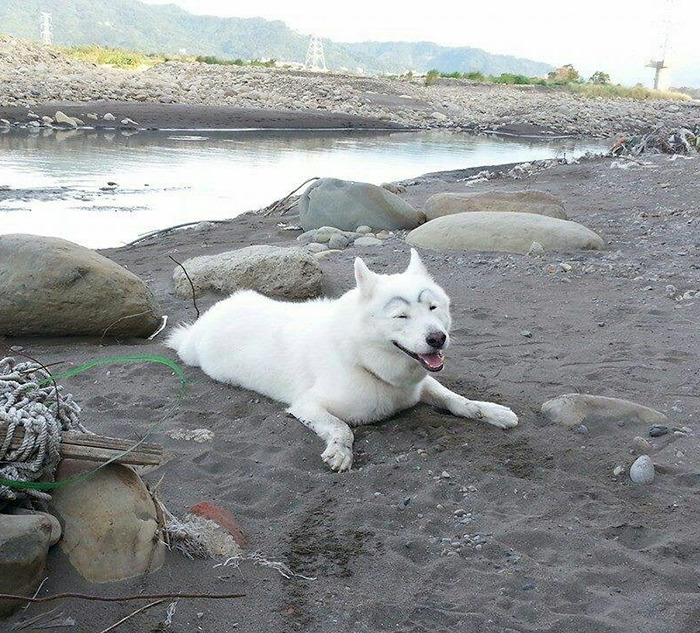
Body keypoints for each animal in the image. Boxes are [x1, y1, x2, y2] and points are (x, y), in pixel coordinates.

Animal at [167, 249, 516, 472]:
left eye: (433, 308)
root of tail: (206, 319)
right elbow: (341, 428)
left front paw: (489, 411)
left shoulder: (420, 383)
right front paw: (340, 451)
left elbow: (456, 399)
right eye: (401, 315)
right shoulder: (307, 405)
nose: (437, 339)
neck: (362, 359)